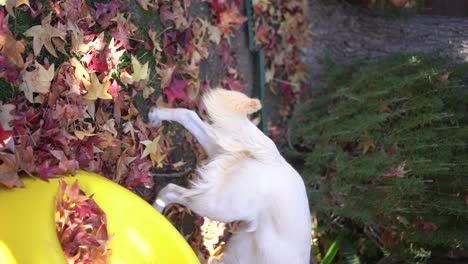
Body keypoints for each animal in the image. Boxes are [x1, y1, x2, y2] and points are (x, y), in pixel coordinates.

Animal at [149, 89, 310, 264]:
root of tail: (275, 159)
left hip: (218, 151)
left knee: (188, 115)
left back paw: (156, 115)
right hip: (219, 206)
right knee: (170, 192)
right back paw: (155, 211)